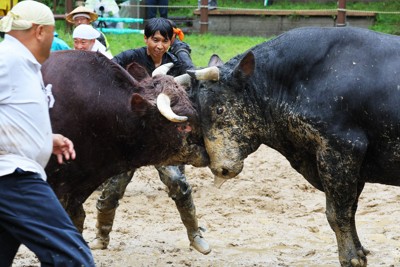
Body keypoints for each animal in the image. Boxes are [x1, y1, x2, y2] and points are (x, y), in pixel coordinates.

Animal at [189, 26, 400, 267]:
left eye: (219, 109)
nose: (220, 169)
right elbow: (350, 209)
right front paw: (359, 251)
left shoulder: (342, 150)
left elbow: (338, 213)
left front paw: (352, 258)